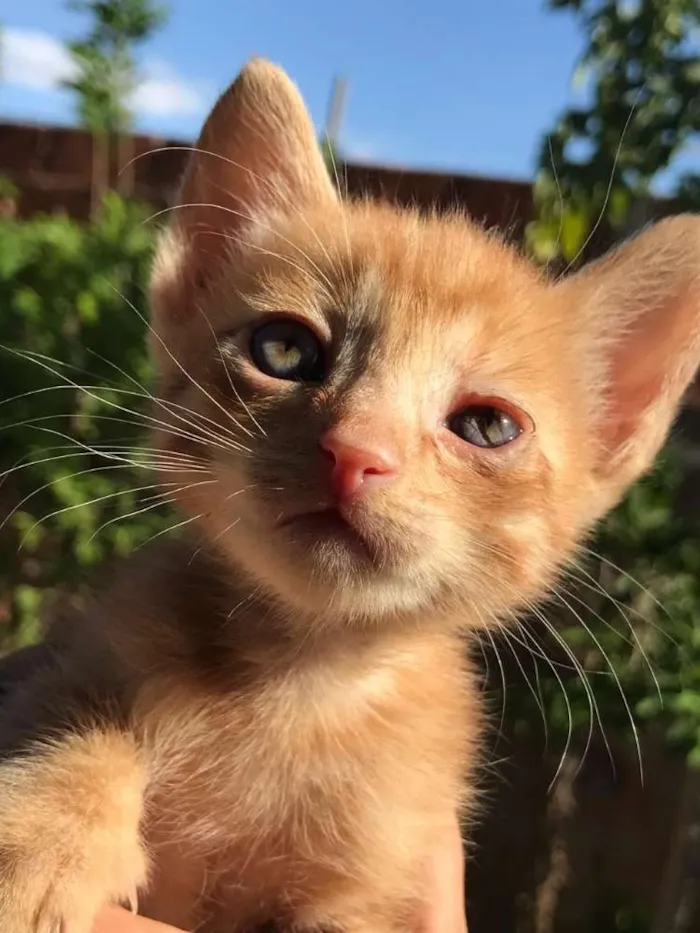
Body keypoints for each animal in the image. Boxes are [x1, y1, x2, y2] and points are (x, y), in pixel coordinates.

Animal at [1, 58, 700, 932]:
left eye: (488, 426)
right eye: (283, 348)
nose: (356, 452)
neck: (297, 683)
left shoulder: (384, 872)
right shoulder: (81, 654)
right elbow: (76, 720)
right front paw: (39, 841)